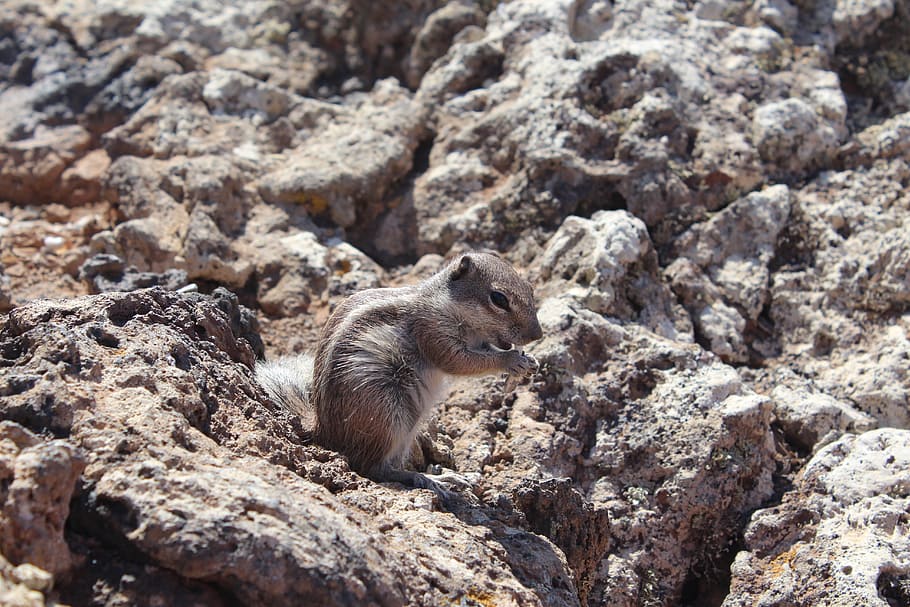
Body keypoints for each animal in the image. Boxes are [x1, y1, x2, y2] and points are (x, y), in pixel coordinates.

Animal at [256, 252, 542, 496]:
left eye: (531, 288)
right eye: (499, 299)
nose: (537, 335)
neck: (446, 302)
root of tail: (323, 432)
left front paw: (531, 361)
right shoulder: (432, 331)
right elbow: (459, 362)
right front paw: (511, 360)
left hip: (408, 427)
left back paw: (444, 477)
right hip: (387, 417)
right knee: (374, 468)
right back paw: (429, 480)